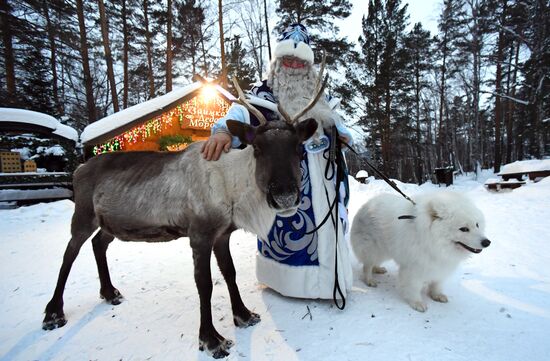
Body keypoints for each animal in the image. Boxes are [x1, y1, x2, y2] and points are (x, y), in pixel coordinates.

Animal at [352, 190, 490, 310]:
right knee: (367, 265)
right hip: (373, 248)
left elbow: (436, 284)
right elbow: (414, 287)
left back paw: (378, 269)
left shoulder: (439, 266)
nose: (487, 242)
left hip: (384, 250)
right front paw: (417, 303)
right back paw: (369, 280)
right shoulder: (414, 269)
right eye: (464, 229)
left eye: (477, 224)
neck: (434, 243)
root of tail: (367, 204)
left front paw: (436, 295)